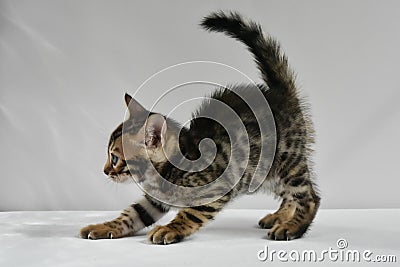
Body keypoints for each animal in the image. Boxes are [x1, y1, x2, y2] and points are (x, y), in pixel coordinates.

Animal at [79, 11, 320, 245]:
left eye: (115, 158)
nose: (105, 171)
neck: (170, 169)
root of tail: (280, 93)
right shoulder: (154, 201)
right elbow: (131, 214)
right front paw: (103, 227)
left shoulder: (216, 189)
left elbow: (190, 214)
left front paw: (169, 229)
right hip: (264, 173)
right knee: (290, 194)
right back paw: (280, 216)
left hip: (286, 162)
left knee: (310, 197)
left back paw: (292, 227)